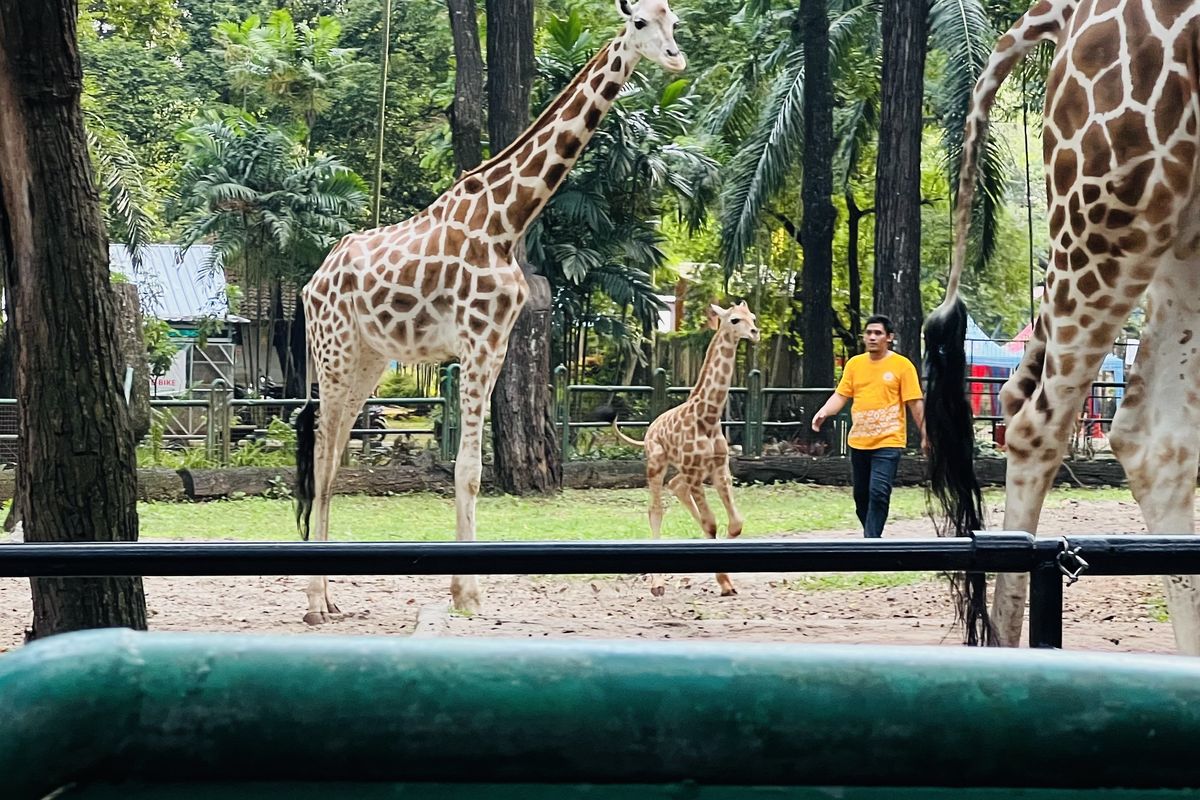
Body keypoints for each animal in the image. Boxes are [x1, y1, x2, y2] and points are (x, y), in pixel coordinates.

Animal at [292, 0, 686, 623]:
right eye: (641, 24)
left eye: (675, 23)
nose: (677, 59)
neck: (508, 220)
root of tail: (312, 282)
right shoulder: (476, 340)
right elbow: (468, 469)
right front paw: (468, 593)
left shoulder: (496, 342)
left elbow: (472, 468)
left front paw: (465, 591)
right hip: (332, 353)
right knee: (325, 457)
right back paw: (313, 602)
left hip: (367, 361)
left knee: (333, 460)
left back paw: (329, 598)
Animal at [600, 303, 758, 597]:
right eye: (734, 320)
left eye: (752, 317)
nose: (755, 333)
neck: (708, 417)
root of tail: (649, 430)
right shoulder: (696, 472)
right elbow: (711, 523)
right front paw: (723, 580)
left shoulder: (719, 469)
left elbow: (733, 524)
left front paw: (726, 582)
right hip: (656, 464)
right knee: (656, 510)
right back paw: (657, 584)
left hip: (686, 472)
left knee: (676, 488)